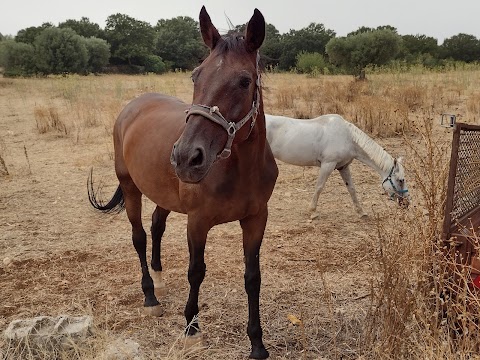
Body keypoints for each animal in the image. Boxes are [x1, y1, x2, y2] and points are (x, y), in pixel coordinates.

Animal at [87, 5, 278, 360]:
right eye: (195, 75)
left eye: (245, 81)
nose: (187, 157)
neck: (239, 169)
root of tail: (133, 106)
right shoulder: (197, 222)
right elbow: (196, 271)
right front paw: (191, 329)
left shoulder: (257, 218)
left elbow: (253, 277)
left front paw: (257, 344)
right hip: (131, 188)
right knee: (139, 236)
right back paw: (150, 296)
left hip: (162, 194)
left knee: (156, 225)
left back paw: (159, 278)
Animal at [266, 114, 408, 217]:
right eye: (401, 180)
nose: (406, 203)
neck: (348, 137)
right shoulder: (328, 165)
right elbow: (319, 187)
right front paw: (313, 212)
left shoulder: (343, 167)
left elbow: (351, 188)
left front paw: (361, 211)